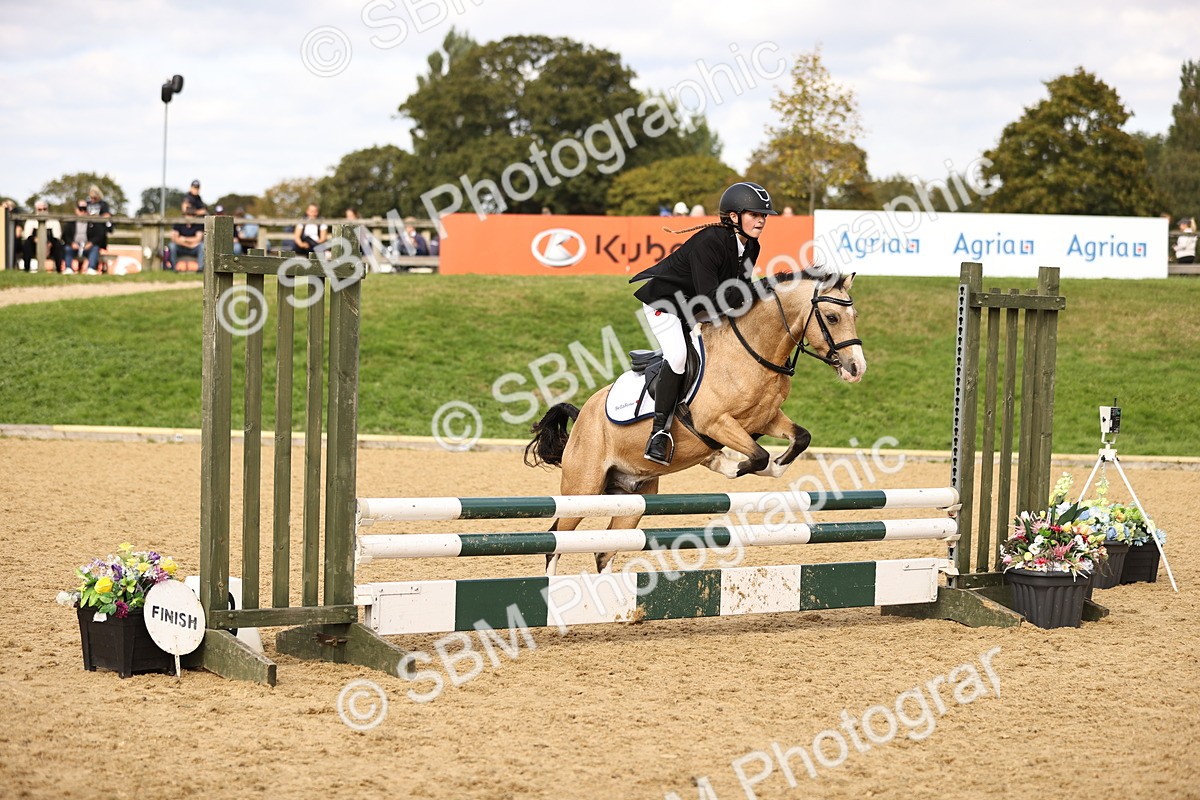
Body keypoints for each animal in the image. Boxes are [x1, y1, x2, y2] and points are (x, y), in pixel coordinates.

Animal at [524, 270, 866, 574]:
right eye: (832, 318)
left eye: (854, 315)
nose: (857, 368)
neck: (752, 353)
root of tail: (583, 415)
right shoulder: (715, 423)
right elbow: (757, 455)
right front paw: (724, 463)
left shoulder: (767, 418)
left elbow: (799, 438)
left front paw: (771, 466)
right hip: (584, 489)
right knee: (556, 540)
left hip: (632, 498)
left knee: (604, 551)